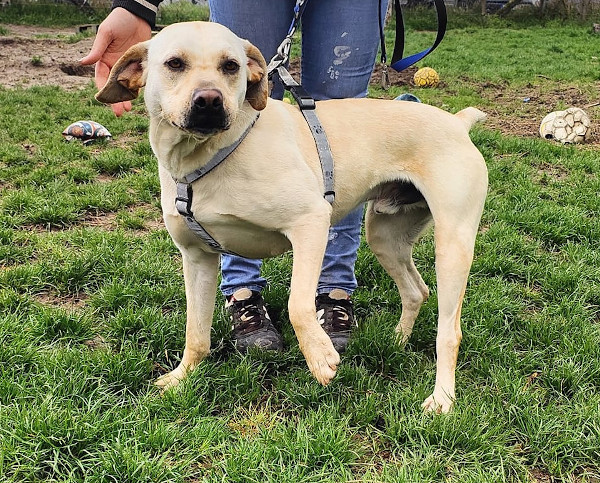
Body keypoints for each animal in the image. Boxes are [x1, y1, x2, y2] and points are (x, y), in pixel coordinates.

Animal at [96, 21, 488, 413]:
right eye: (174, 63)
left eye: (231, 66)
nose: (209, 100)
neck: (204, 159)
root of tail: (457, 122)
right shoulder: (197, 260)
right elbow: (196, 332)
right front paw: (182, 378)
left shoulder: (311, 223)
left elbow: (298, 304)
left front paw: (320, 356)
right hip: (385, 237)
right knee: (416, 291)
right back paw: (396, 342)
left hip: (451, 248)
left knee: (449, 331)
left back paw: (442, 398)